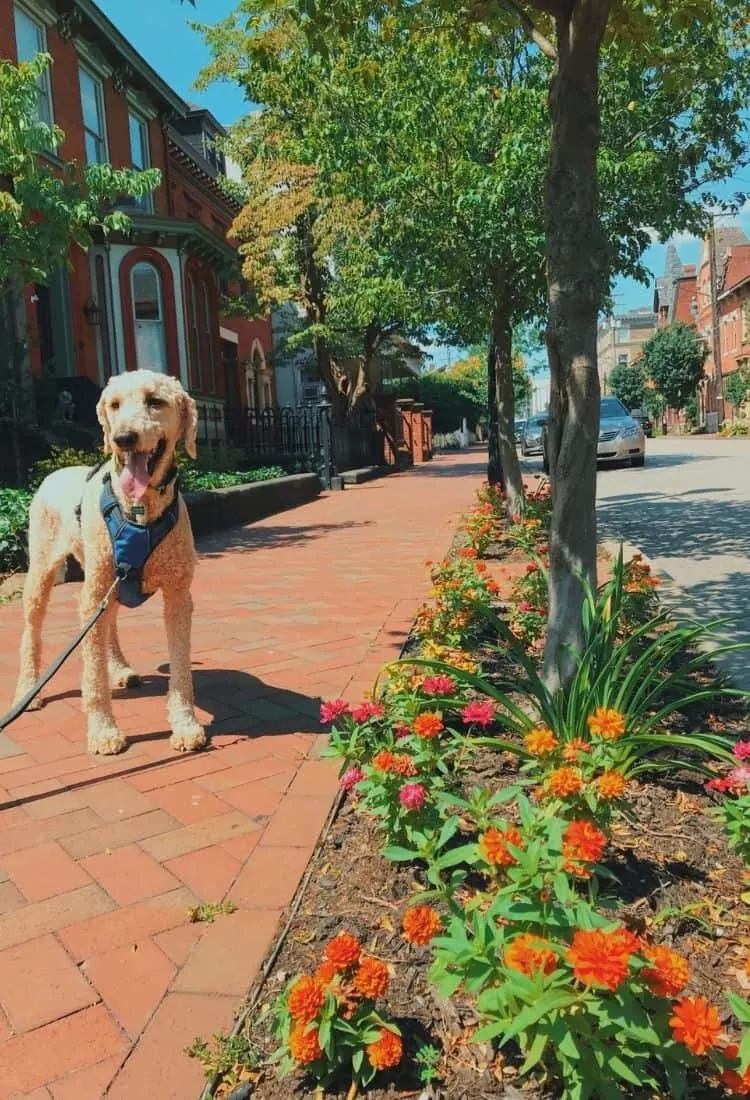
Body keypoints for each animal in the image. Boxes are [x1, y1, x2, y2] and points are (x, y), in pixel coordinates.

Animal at [14, 369, 205, 756]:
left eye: (155, 401)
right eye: (114, 404)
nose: (123, 439)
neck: (140, 510)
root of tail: (54, 474)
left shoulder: (178, 596)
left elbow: (181, 668)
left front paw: (185, 724)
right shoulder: (92, 597)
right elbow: (92, 674)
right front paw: (103, 731)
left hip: (109, 582)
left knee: (109, 623)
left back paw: (118, 668)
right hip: (44, 571)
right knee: (32, 631)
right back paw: (28, 688)